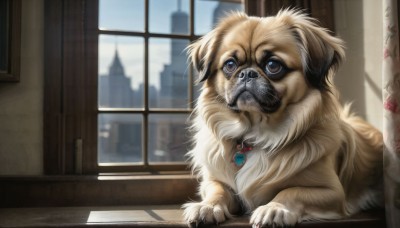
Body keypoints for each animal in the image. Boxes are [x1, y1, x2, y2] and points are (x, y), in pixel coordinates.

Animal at [183, 9, 382, 228]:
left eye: (273, 65)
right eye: (230, 65)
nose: (247, 73)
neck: (255, 134)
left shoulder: (332, 191)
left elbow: (291, 191)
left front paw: (274, 209)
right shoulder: (213, 180)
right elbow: (217, 190)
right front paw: (207, 207)